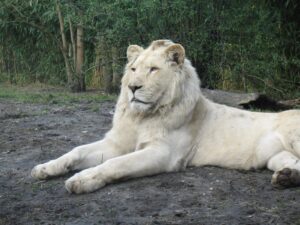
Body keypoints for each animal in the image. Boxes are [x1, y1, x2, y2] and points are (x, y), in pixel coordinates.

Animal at [31, 39, 300, 193]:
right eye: (133, 69)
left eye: (153, 69)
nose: (133, 87)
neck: (142, 117)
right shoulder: (116, 143)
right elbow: (76, 151)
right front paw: (45, 168)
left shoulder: (163, 153)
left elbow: (116, 164)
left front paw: (82, 179)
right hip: (275, 157)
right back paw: (286, 178)